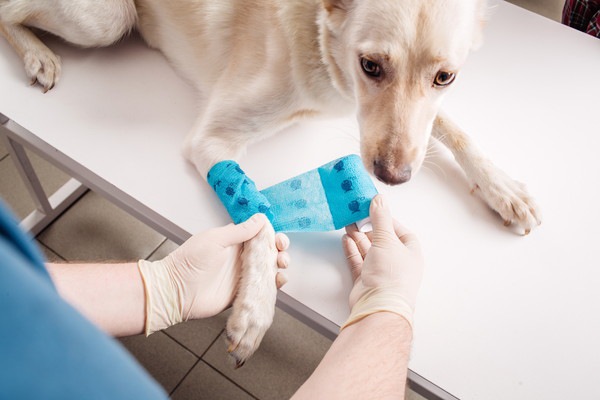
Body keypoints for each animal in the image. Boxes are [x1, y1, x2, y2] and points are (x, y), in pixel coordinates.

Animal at [0, 0, 540, 368]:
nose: (393, 177)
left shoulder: (417, 124)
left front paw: (502, 187)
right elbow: (258, 211)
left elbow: (450, 127)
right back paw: (38, 56)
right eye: (371, 66)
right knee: (11, 12)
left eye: (445, 76)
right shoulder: (213, 137)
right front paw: (255, 310)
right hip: (105, 19)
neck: (322, 43)